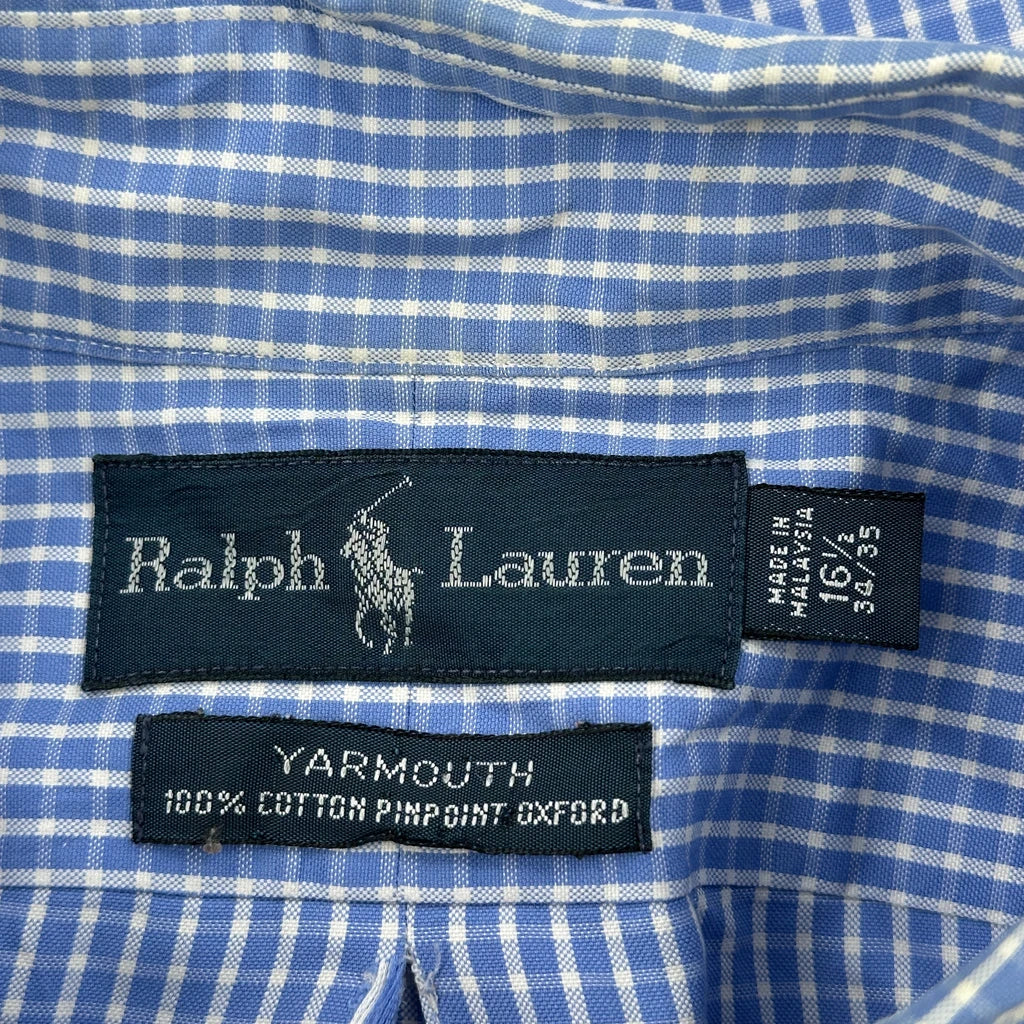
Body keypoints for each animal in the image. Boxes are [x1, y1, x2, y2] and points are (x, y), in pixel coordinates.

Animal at [341, 475, 423, 655]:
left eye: (354, 541)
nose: (342, 552)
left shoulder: (381, 605)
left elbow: (388, 626)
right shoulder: (366, 603)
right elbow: (362, 621)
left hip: (405, 605)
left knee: (405, 624)